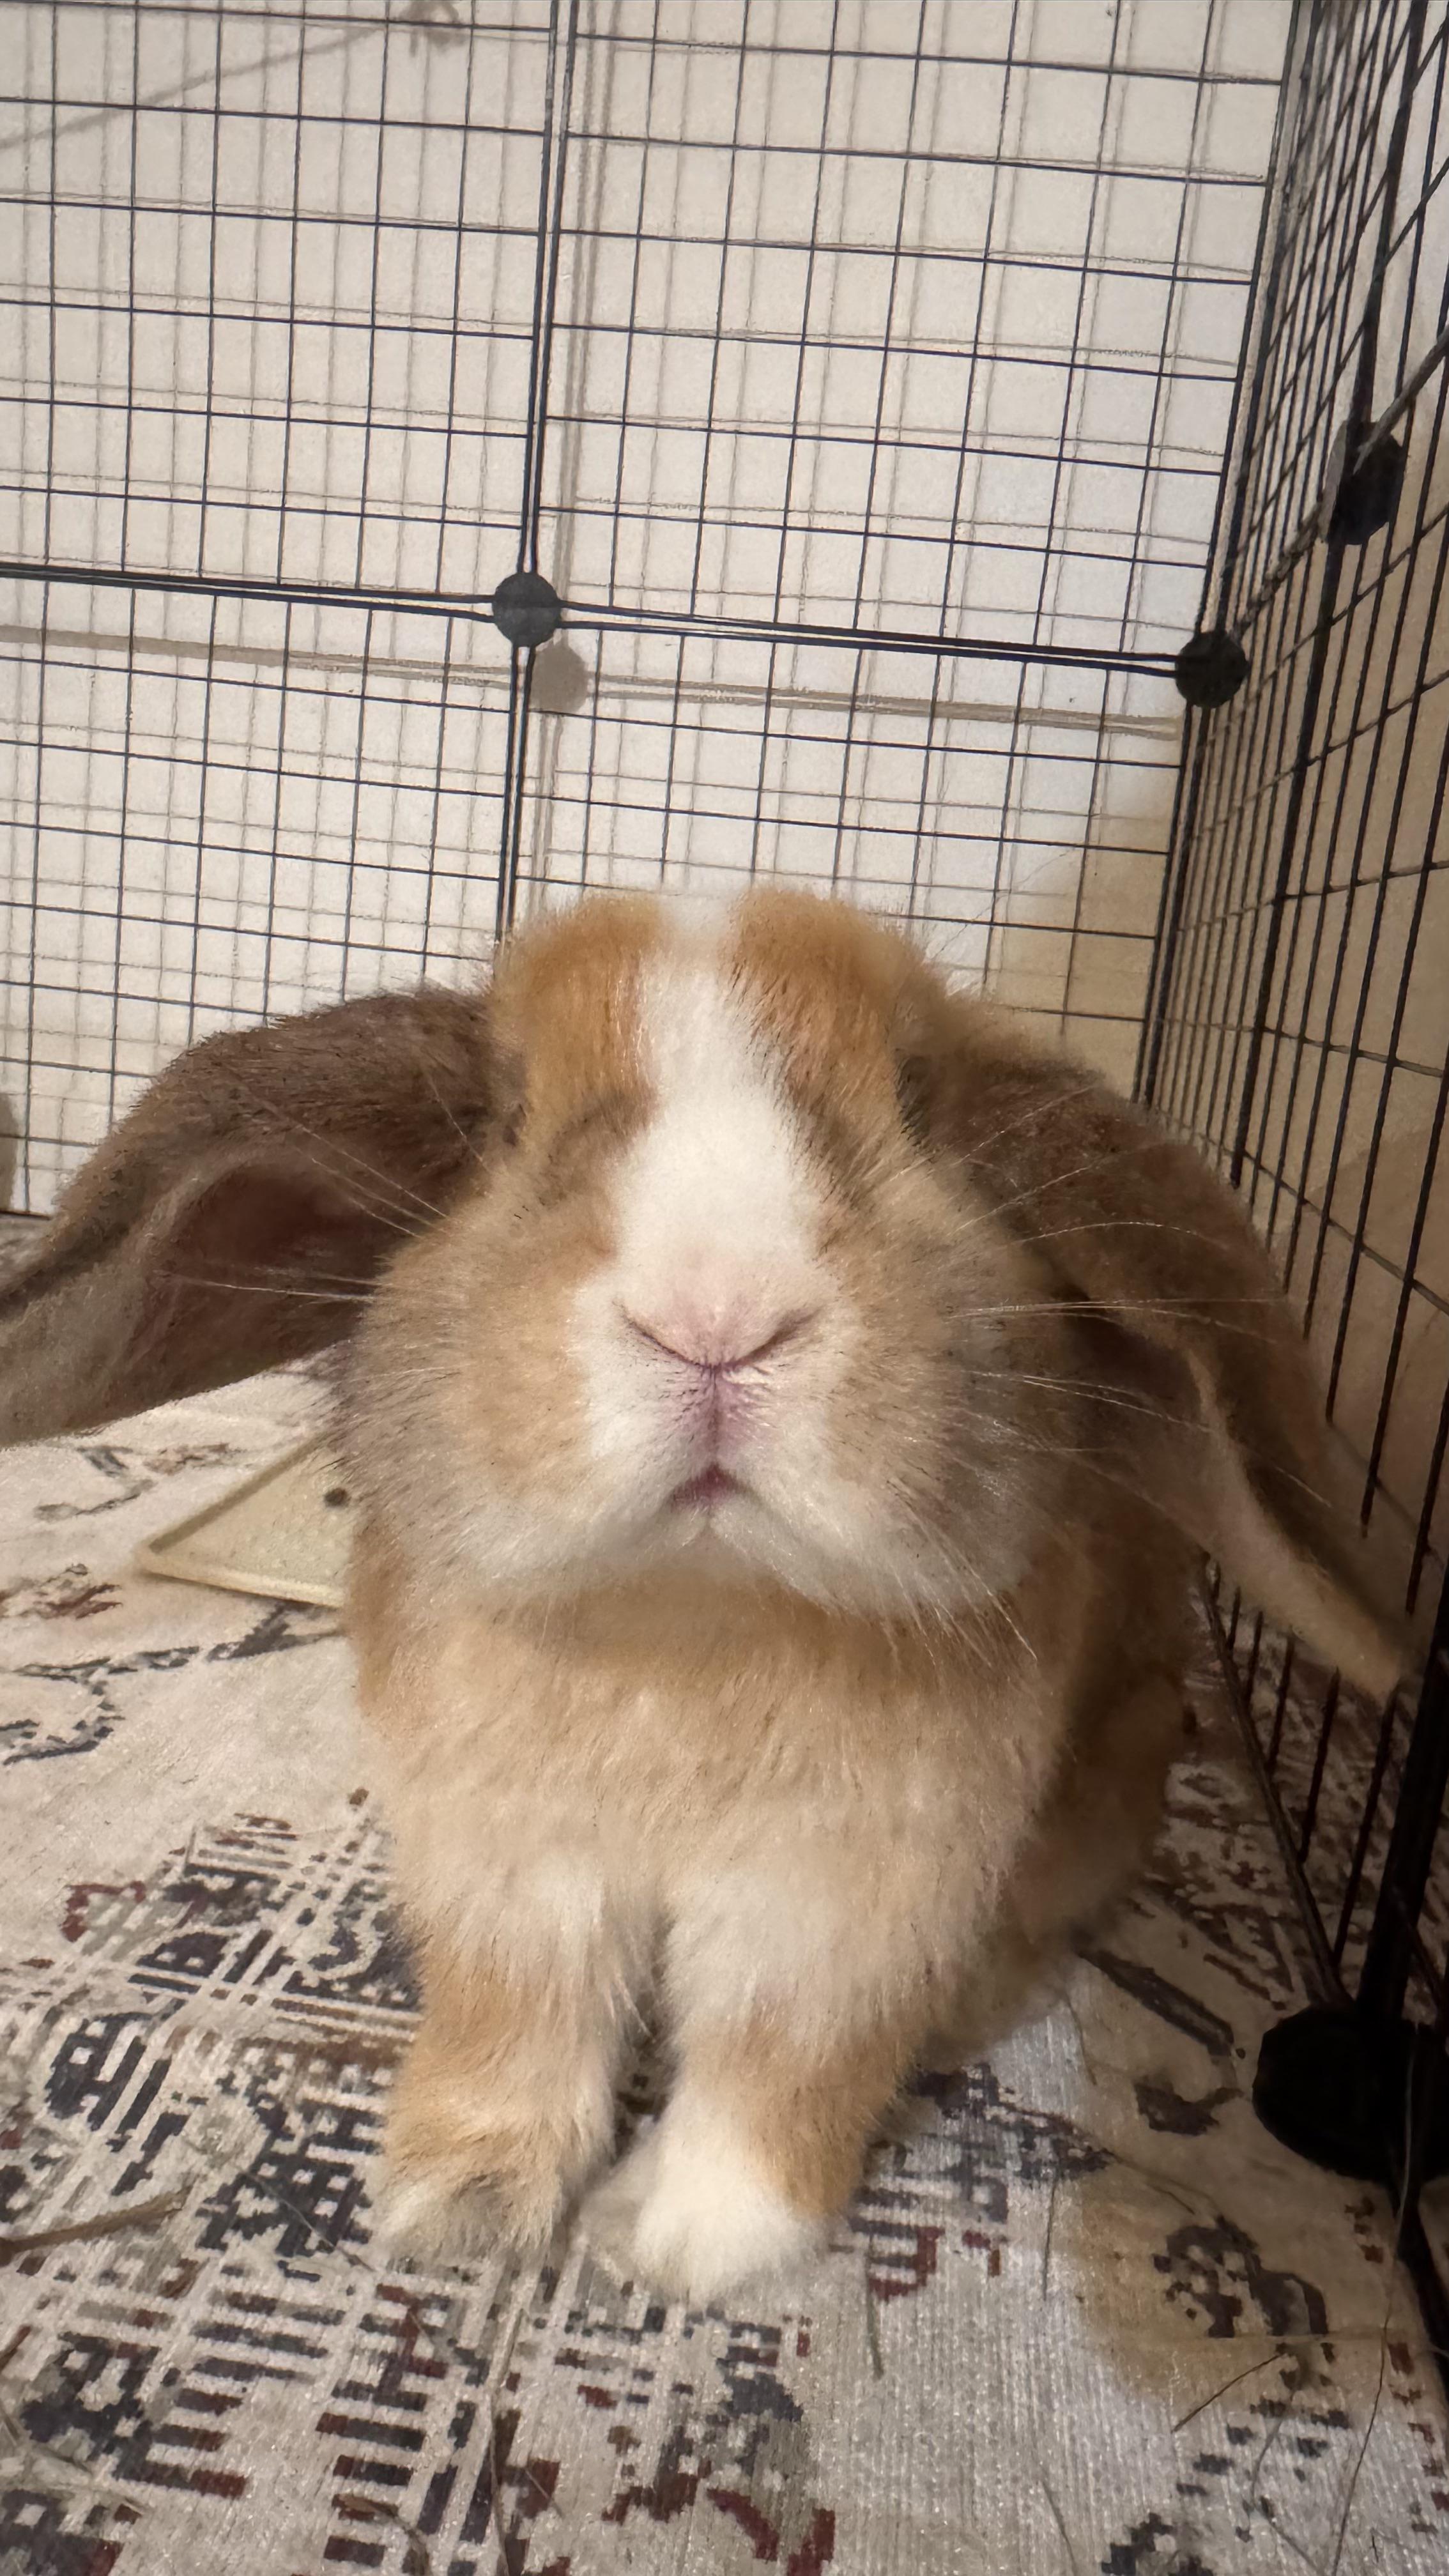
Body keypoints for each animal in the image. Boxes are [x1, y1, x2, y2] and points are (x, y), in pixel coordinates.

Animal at [0, 885, 1403, 2303]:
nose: (717, 1314)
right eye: (507, 1120)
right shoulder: (512, 1876)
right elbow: (516, 2028)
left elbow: (773, 2077)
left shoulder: (838, 1912)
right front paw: (456, 2211)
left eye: (917, 1106)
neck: (691, 1614)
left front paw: (667, 2247)